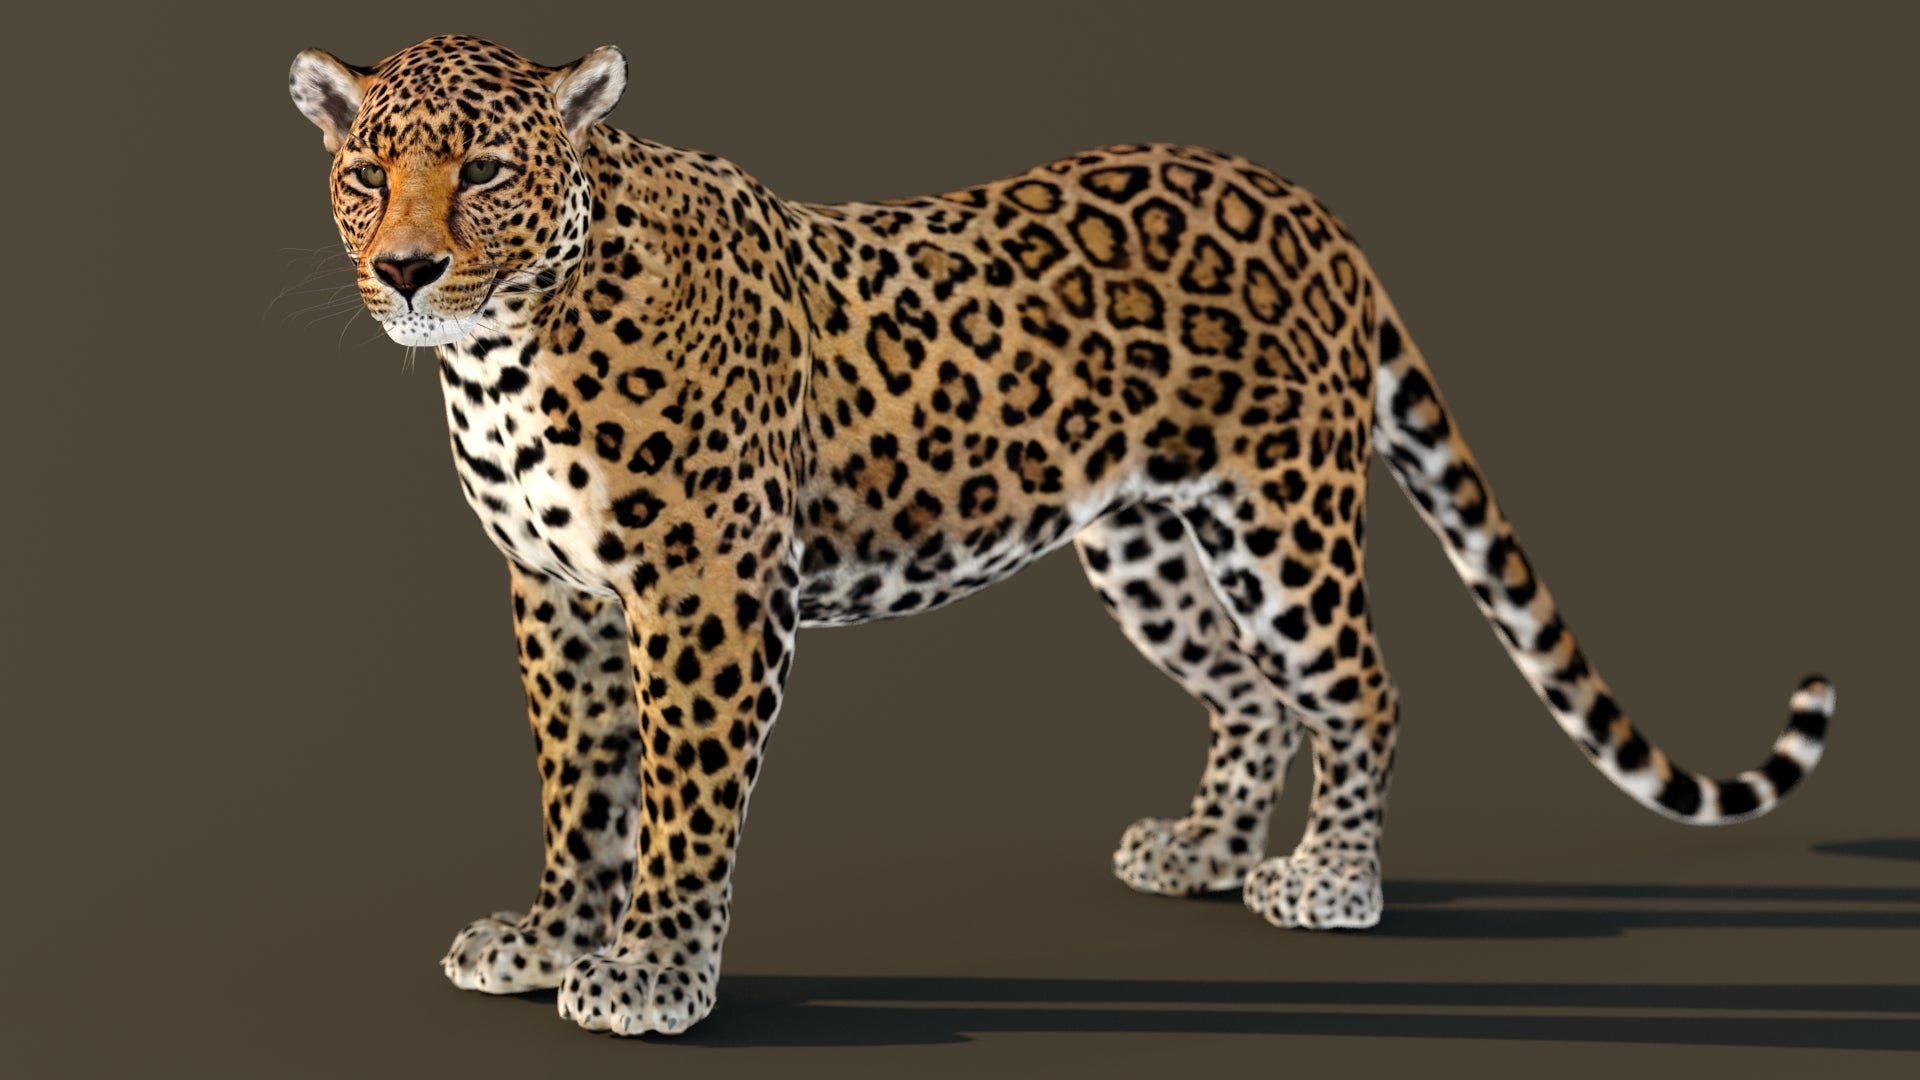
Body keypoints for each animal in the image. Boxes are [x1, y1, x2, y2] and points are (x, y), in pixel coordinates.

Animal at [287, 34, 1837, 1038]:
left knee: (1362, 691)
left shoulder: (707, 589)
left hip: (1284, 518)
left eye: (486, 170)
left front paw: (652, 977)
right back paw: (1204, 850)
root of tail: (1304, 199)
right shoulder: (555, 594)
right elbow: (582, 783)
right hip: (1144, 544)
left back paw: (1330, 882)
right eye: (365, 174)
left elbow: (680, 797)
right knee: (1252, 695)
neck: (502, 354)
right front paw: (549, 937)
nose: (406, 269)